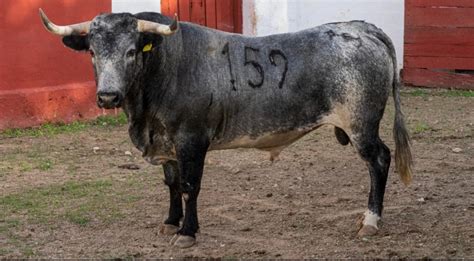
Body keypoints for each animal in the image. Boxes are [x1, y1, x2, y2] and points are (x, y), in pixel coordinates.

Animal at [39, 9, 412, 247]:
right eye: (92, 52)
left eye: (132, 51)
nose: (107, 96)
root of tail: (363, 28)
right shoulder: (167, 143)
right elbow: (172, 184)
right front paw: (170, 222)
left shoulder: (191, 140)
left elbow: (190, 186)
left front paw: (187, 232)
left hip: (361, 124)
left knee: (379, 160)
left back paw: (371, 221)